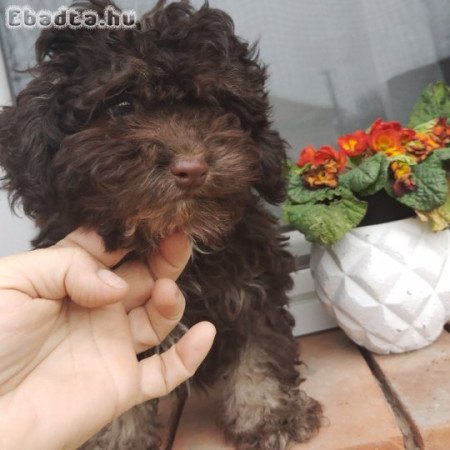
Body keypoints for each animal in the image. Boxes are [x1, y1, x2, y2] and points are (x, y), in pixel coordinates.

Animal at [0, 0, 324, 450]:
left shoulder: (254, 286)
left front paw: (269, 415)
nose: (192, 167)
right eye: (121, 106)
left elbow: (259, 350)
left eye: (213, 106)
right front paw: (114, 440)